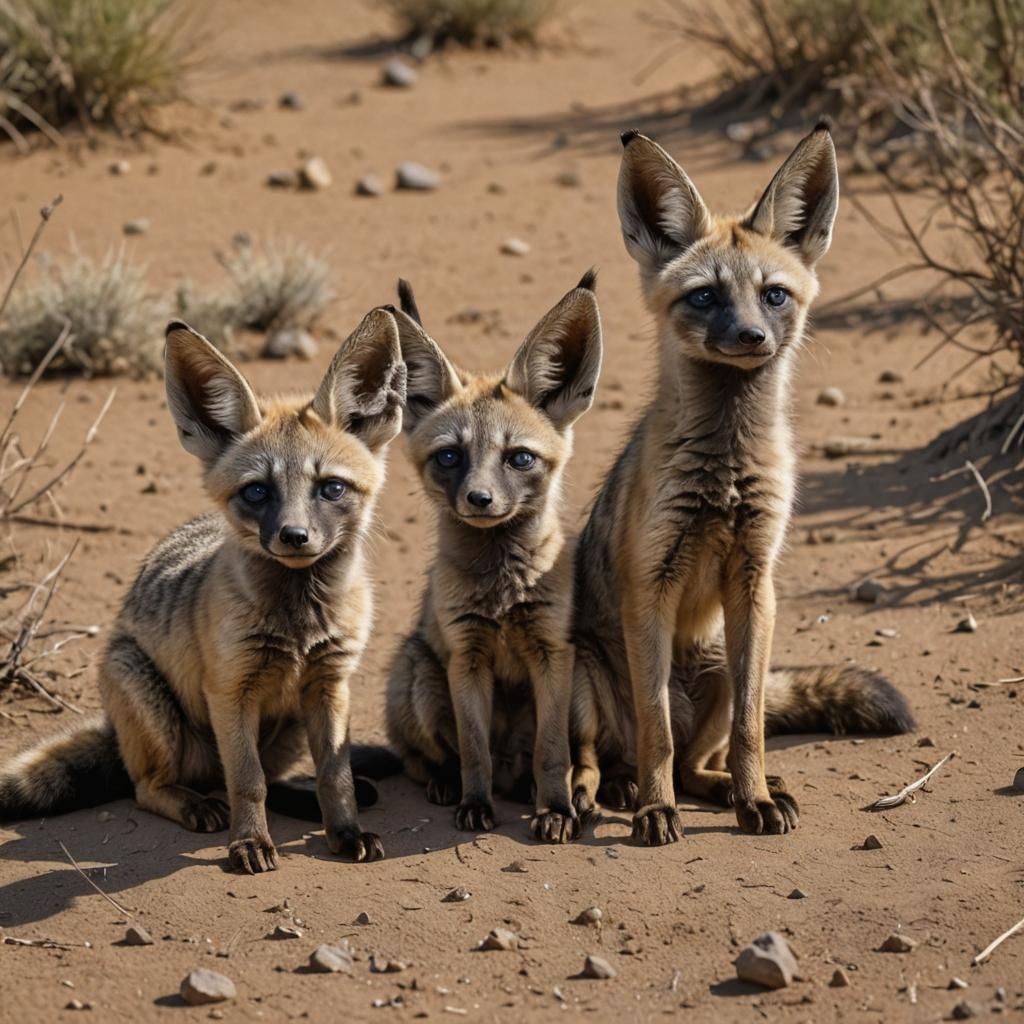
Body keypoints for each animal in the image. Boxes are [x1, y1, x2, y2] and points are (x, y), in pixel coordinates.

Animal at [0, 310, 407, 871]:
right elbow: (247, 783)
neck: (299, 620)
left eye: (331, 488)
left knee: (267, 778)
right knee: (151, 787)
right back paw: (194, 805)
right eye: (257, 491)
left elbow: (334, 776)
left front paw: (344, 833)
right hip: (150, 702)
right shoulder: (230, 691)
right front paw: (249, 844)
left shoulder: (330, 683)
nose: (294, 536)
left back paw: (301, 799)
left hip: (287, 728)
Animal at [385, 273, 602, 843]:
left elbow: (553, 752)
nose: (479, 500)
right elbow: (473, 751)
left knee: (585, 757)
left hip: (584, 681)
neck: (502, 590)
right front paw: (475, 805)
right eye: (450, 456)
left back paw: (582, 796)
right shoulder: (467, 655)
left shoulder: (552, 653)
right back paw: (446, 784)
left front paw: (555, 811)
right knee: (424, 758)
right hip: (419, 675)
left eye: (519, 458)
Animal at [569, 122, 914, 845]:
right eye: (705, 296)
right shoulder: (651, 585)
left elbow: (751, 729)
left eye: (773, 294)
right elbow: (655, 733)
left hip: (721, 670)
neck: (725, 470)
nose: (753, 336)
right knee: (607, 755)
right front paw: (655, 811)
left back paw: (732, 789)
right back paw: (610, 793)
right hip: (580, 681)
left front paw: (753, 799)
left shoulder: (756, 584)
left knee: (703, 758)